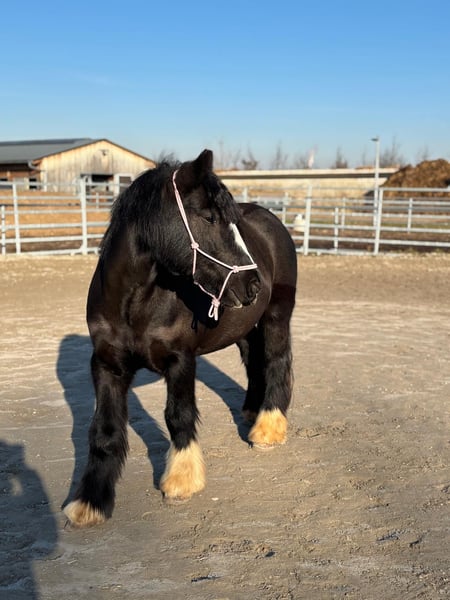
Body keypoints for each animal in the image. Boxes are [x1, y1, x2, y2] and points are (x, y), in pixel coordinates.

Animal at [64, 149, 297, 527]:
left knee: (276, 361)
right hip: (245, 327)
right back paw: (251, 411)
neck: (135, 303)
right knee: (254, 362)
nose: (253, 285)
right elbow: (104, 431)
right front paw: (90, 502)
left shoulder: (181, 360)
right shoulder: (106, 365)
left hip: (277, 315)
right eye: (209, 217)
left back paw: (268, 428)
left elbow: (178, 415)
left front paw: (182, 480)